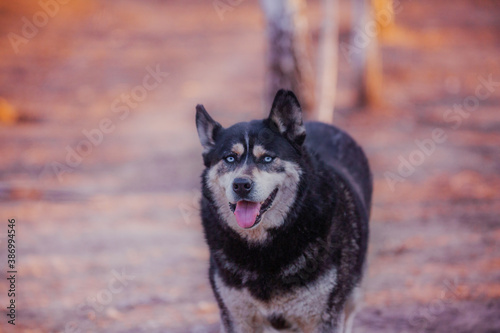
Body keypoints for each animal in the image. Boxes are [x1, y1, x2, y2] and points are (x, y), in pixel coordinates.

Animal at [195, 89, 372, 330]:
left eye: (267, 158)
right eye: (230, 158)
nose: (241, 185)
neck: (262, 248)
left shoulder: (324, 319)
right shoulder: (236, 317)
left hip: (353, 296)